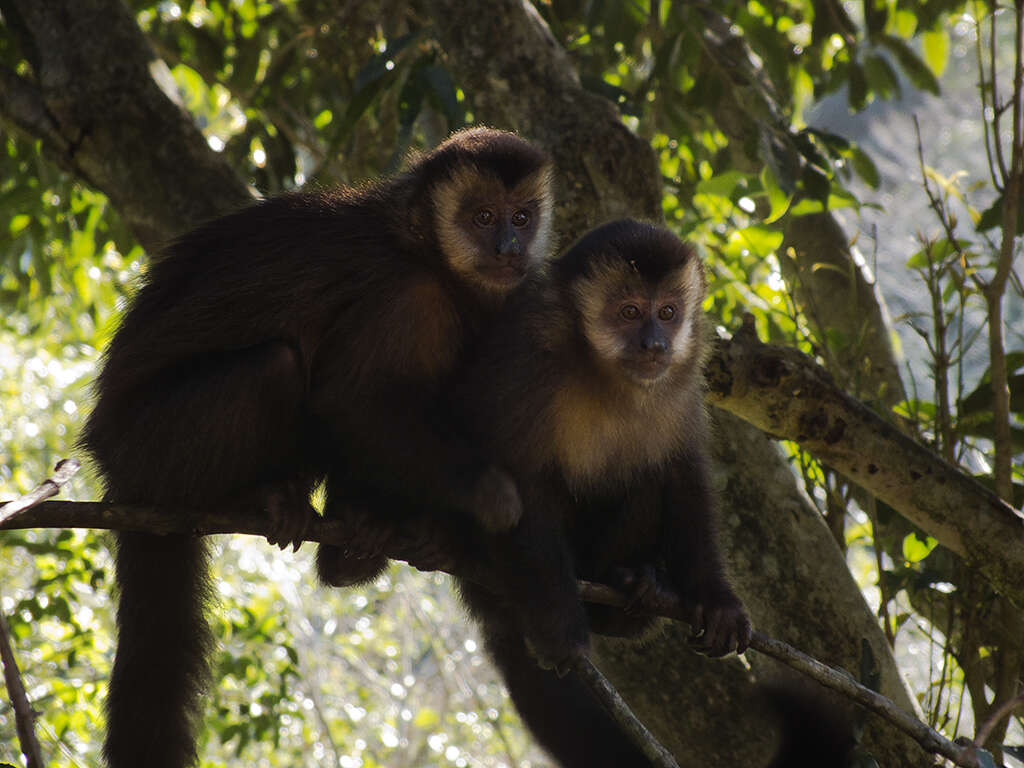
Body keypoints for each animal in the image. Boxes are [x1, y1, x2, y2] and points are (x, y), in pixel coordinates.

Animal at [81, 128, 552, 768]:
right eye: (483, 217)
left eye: (522, 217)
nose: (509, 246)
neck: (421, 248)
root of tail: (112, 466)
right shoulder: (409, 297)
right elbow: (351, 401)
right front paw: (487, 495)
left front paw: (418, 529)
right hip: (153, 446)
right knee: (281, 367)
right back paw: (259, 502)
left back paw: (349, 549)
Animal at [450, 218, 753, 768]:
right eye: (629, 312)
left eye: (668, 313)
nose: (655, 344)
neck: (603, 372)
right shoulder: (529, 356)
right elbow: (515, 485)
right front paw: (558, 623)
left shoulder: (683, 383)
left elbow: (683, 472)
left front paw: (716, 598)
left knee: (649, 474)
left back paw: (634, 586)